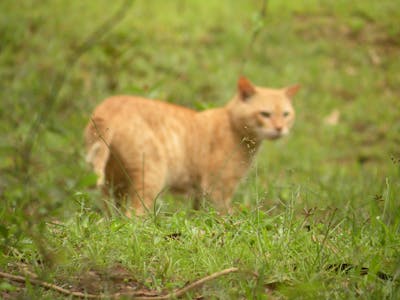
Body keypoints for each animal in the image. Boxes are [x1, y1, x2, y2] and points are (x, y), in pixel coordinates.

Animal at [84, 77, 298, 218]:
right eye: (265, 114)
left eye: (286, 114)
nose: (280, 128)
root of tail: (108, 105)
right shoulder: (217, 189)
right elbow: (222, 215)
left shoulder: (200, 192)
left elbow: (198, 214)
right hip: (150, 177)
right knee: (133, 216)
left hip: (113, 184)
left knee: (112, 214)